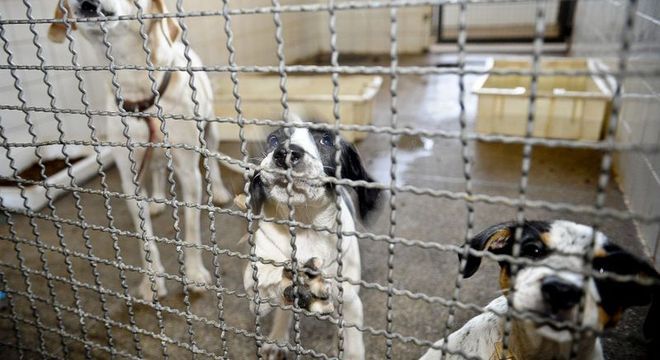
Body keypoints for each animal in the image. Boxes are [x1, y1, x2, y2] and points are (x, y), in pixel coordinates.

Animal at [47, 0, 232, 298]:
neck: (137, 88)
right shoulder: (129, 177)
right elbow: (145, 238)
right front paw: (152, 281)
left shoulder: (188, 172)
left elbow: (192, 230)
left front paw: (194, 274)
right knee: (157, 168)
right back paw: (156, 199)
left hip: (210, 129)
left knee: (211, 161)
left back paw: (220, 191)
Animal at [242, 124, 382, 360]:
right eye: (273, 139)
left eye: (325, 140)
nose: (284, 153)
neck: (305, 225)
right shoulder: (256, 286)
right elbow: (265, 281)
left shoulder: (350, 301)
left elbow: (353, 343)